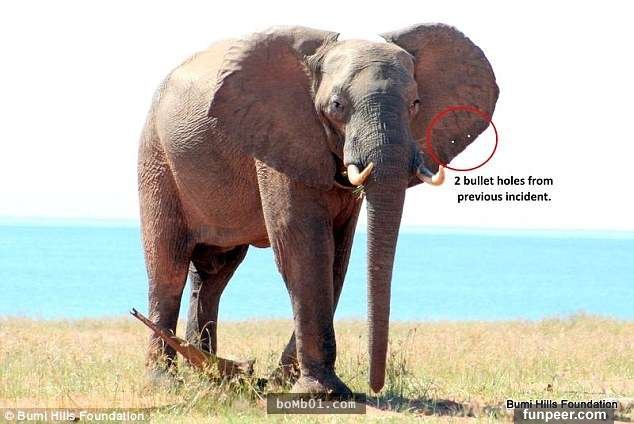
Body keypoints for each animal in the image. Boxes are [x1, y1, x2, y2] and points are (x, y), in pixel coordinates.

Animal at [137, 24, 498, 394]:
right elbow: (305, 246)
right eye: (337, 105)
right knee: (168, 266)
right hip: (156, 158)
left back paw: (208, 374)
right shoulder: (283, 135)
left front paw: (285, 381)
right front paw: (321, 392)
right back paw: (163, 380)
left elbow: (338, 254)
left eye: (415, 104)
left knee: (214, 272)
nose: (375, 386)